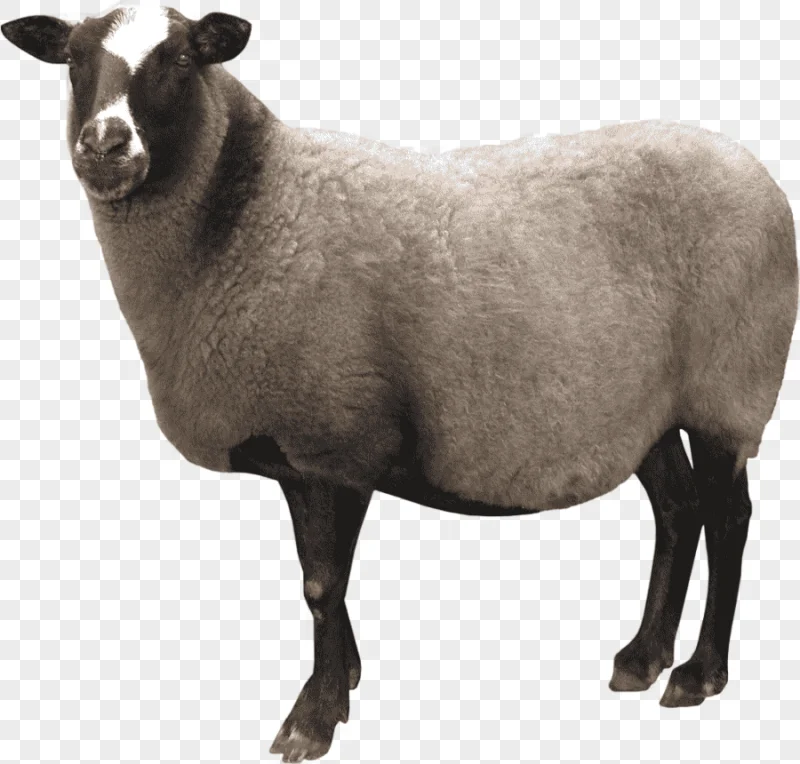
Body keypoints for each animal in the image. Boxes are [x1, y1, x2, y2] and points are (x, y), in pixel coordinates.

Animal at [3, 4, 797, 762]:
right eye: (74, 60)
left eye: (180, 58)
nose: (105, 146)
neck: (246, 210)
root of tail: (755, 170)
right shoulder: (303, 453)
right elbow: (320, 582)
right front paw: (345, 679)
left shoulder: (339, 437)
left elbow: (322, 584)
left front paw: (312, 720)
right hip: (647, 408)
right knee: (678, 510)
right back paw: (643, 657)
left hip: (730, 391)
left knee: (727, 518)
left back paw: (698, 674)